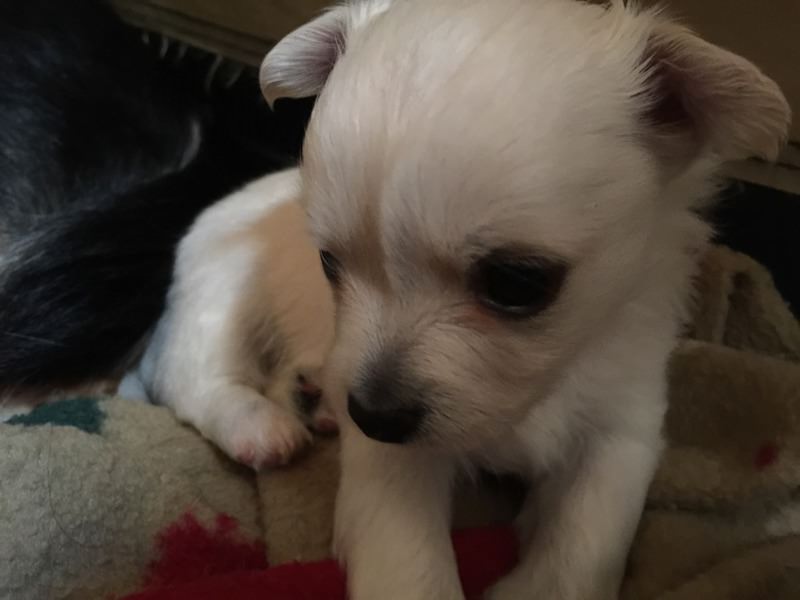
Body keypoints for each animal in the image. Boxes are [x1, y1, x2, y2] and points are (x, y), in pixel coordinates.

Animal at [126, 0, 790, 598]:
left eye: (516, 283)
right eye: (329, 264)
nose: (370, 415)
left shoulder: (620, 430)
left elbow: (580, 548)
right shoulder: (393, 462)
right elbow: (409, 565)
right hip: (219, 289)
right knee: (189, 375)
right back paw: (259, 425)